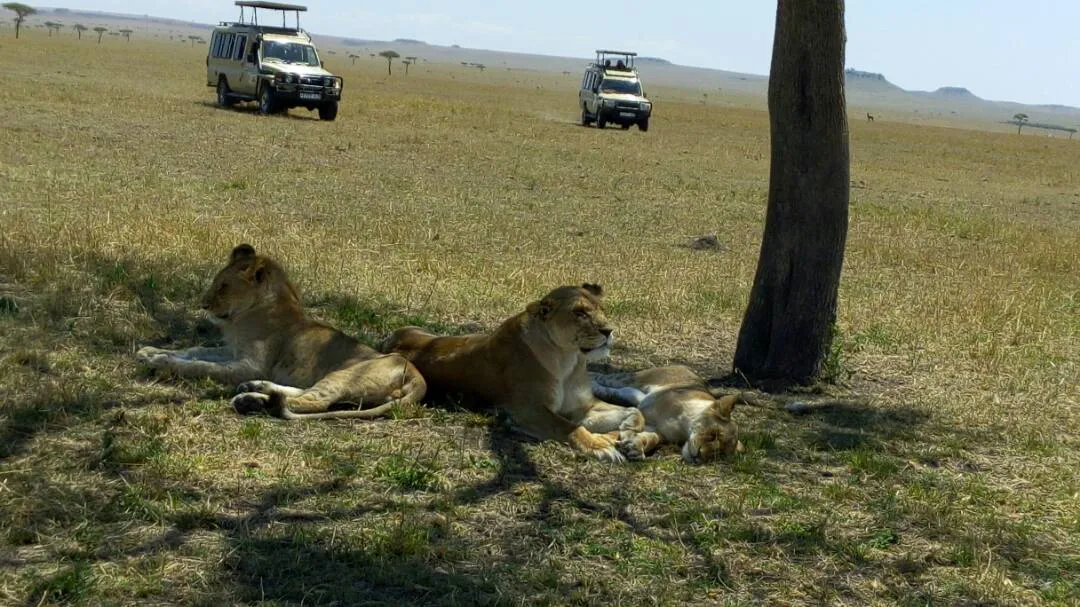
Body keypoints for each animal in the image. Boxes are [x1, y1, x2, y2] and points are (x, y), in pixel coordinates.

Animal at [136, 244, 426, 420]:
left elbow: (202, 366)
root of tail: (417, 375)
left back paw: (251, 401)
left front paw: (161, 362)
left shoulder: (251, 364)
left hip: (346, 374)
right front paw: (150, 351)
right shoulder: (233, 350)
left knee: (313, 402)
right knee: (303, 393)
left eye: (223, 286)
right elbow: (196, 350)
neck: (246, 314)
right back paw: (255, 390)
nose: (203, 304)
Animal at [381, 284, 644, 463]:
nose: (608, 330)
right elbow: (568, 427)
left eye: (602, 310)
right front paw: (600, 446)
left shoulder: (583, 406)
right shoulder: (527, 410)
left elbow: (634, 410)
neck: (568, 359)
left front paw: (628, 428)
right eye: (580, 312)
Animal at [591, 365, 748, 463]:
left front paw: (635, 447)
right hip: (635, 378)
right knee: (608, 378)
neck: (683, 427)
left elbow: (651, 438)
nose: (699, 457)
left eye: (719, 454)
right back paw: (593, 380)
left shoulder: (658, 430)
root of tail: (688, 368)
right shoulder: (646, 407)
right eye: (713, 434)